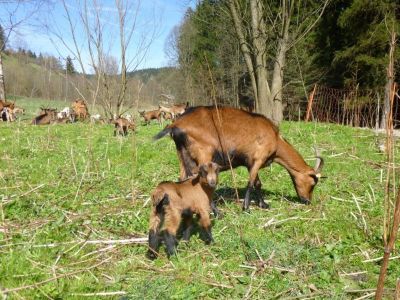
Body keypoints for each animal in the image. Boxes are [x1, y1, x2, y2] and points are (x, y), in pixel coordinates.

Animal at [155, 105, 324, 211]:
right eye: (313, 182)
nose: (307, 201)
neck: (275, 139)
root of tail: (175, 125)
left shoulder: (251, 163)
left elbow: (258, 183)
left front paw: (263, 205)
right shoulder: (258, 159)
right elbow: (251, 183)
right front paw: (247, 208)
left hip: (182, 155)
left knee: (183, 178)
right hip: (204, 155)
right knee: (203, 180)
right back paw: (217, 213)